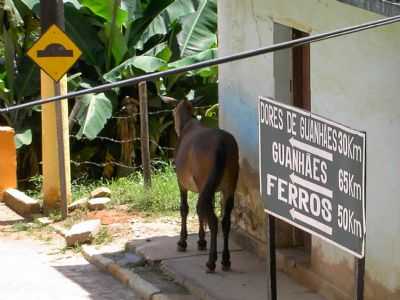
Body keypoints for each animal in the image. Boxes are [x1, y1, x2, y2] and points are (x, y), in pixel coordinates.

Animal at [170, 99, 239, 274]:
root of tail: (221, 144)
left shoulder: (182, 182)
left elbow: (185, 208)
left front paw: (183, 241)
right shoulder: (207, 189)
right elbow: (201, 210)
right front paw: (201, 241)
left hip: (205, 180)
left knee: (214, 220)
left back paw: (211, 262)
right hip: (230, 184)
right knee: (225, 221)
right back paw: (226, 259)